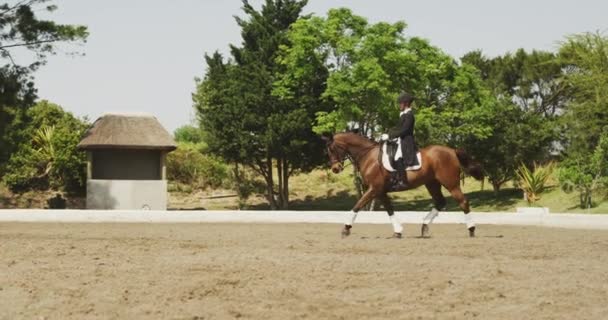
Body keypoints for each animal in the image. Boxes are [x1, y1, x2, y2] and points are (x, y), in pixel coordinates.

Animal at [324, 131, 484, 239]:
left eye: (331, 149)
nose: (335, 168)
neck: (368, 156)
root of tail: (452, 150)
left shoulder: (374, 189)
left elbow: (357, 205)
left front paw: (346, 229)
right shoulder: (380, 191)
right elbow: (389, 209)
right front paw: (398, 231)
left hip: (450, 183)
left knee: (463, 201)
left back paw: (471, 230)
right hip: (432, 183)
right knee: (440, 202)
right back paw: (424, 227)